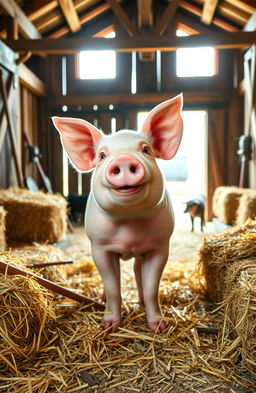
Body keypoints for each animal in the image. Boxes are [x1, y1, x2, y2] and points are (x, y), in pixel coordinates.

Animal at [52, 94, 183, 330]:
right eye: (102, 155)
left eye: (146, 150)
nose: (123, 159)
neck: (129, 223)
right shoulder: (100, 247)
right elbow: (113, 287)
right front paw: (109, 326)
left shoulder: (160, 246)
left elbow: (152, 288)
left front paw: (159, 326)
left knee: (137, 271)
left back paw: (140, 300)